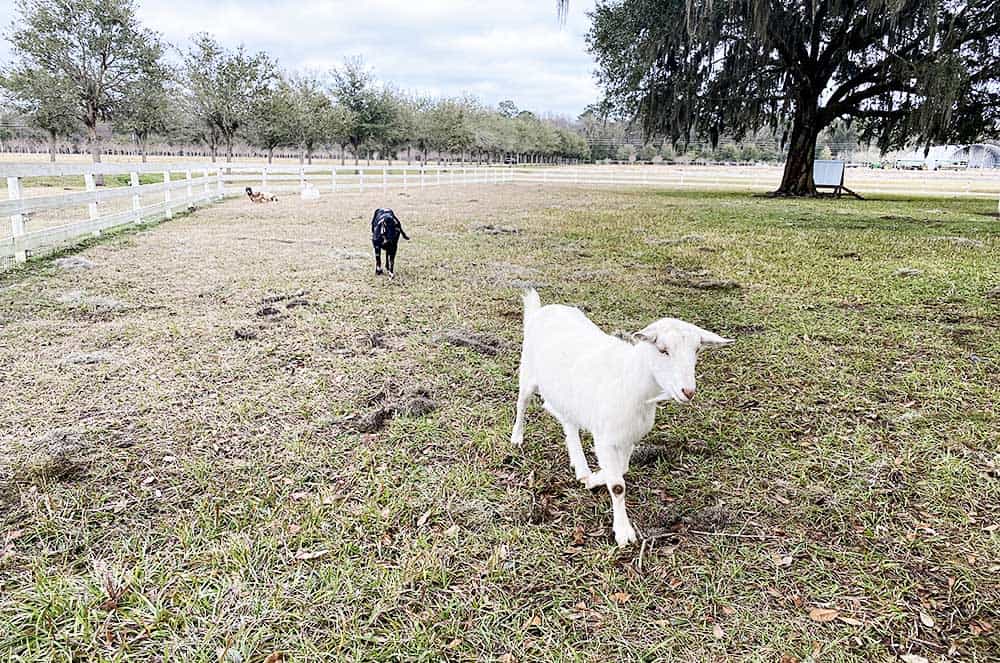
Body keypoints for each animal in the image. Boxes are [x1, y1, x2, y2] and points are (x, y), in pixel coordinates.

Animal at [512, 288, 732, 548]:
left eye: (697, 350)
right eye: (662, 350)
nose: (688, 391)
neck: (631, 380)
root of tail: (542, 309)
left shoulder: (628, 438)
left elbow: (622, 469)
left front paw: (595, 478)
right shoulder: (605, 438)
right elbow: (618, 486)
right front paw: (624, 532)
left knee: (569, 423)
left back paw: (581, 467)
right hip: (528, 372)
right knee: (522, 403)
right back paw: (517, 438)